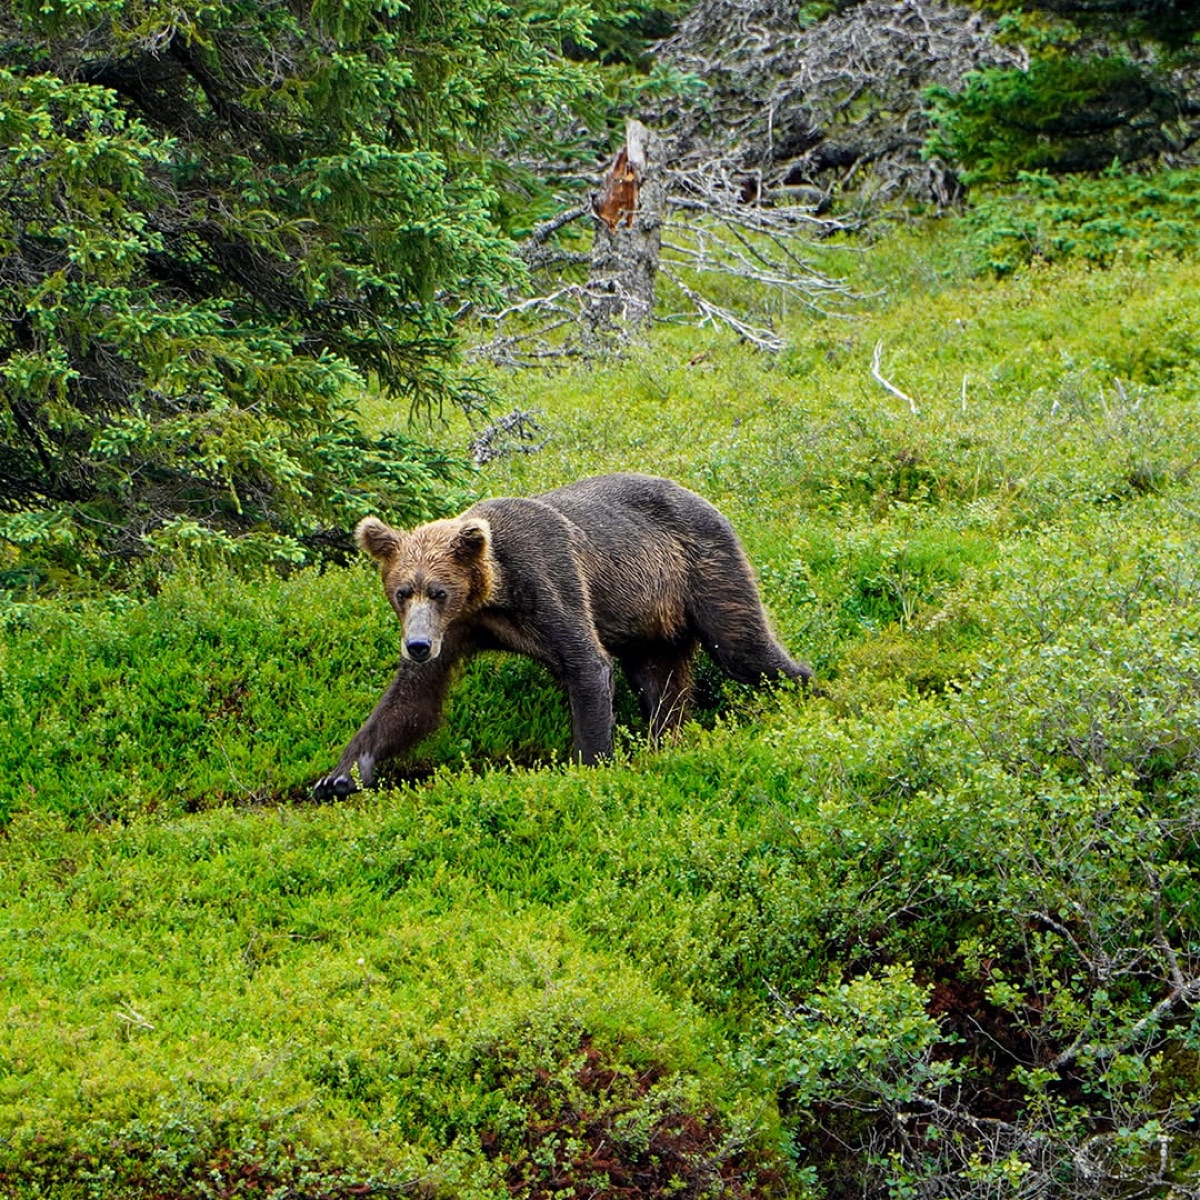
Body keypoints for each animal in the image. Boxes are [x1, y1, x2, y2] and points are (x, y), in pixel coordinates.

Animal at [312, 472, 810, 798]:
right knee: (660, 681)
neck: (492, 594)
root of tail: (704, 497)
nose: (416, 646)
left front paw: (589, 764)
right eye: (401, 592)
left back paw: (805, 689)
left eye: (439, 590)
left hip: (703, 566)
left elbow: (586, 665)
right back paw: (663, 742)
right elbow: (412, 701)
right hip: (649, 617)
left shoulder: (547, 580)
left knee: (743, 646)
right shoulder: (457, 630)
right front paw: (337, 776)